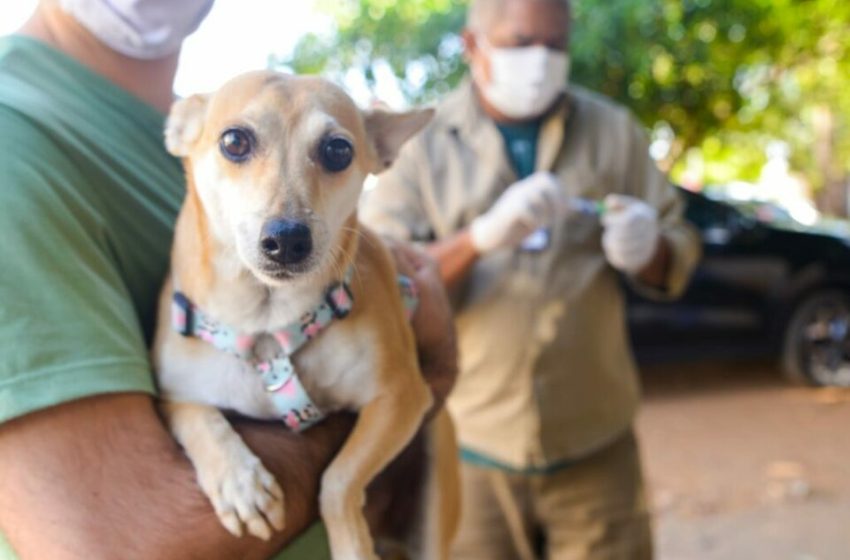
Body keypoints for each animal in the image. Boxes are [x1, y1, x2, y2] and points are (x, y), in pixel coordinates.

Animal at [152, 72, 458, 556]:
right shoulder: (174, 396)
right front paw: (239, 481)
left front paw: (352, 545)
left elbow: (338, 480)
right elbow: (198, 418)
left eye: (338, 150)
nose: (287, 238)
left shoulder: (401, 397)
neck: (266, 324)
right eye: (234, 141)